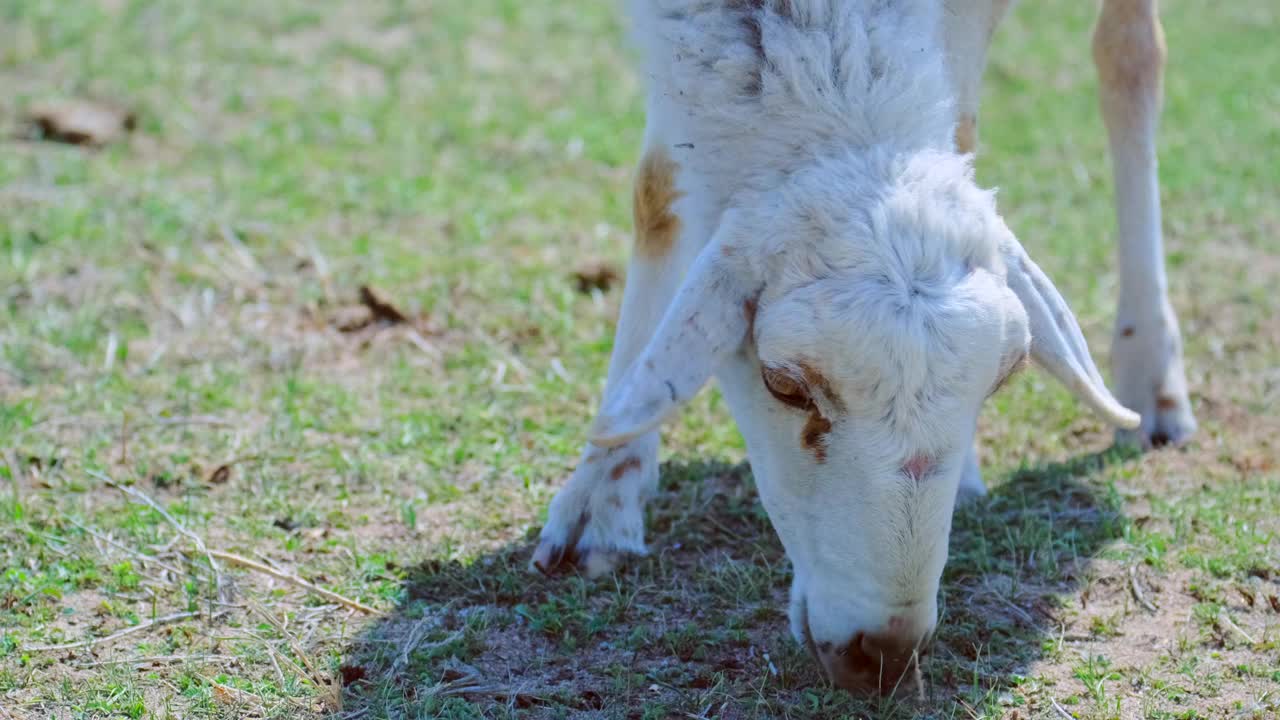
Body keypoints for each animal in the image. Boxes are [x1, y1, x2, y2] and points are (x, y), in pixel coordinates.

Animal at [527, 0, 1187, 696]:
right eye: (783, 384)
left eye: (1003, 379)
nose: (885, 656)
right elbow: (658, 191)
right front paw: (602, 490)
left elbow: (965, 128)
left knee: (1130, 57)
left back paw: (1151, 377)